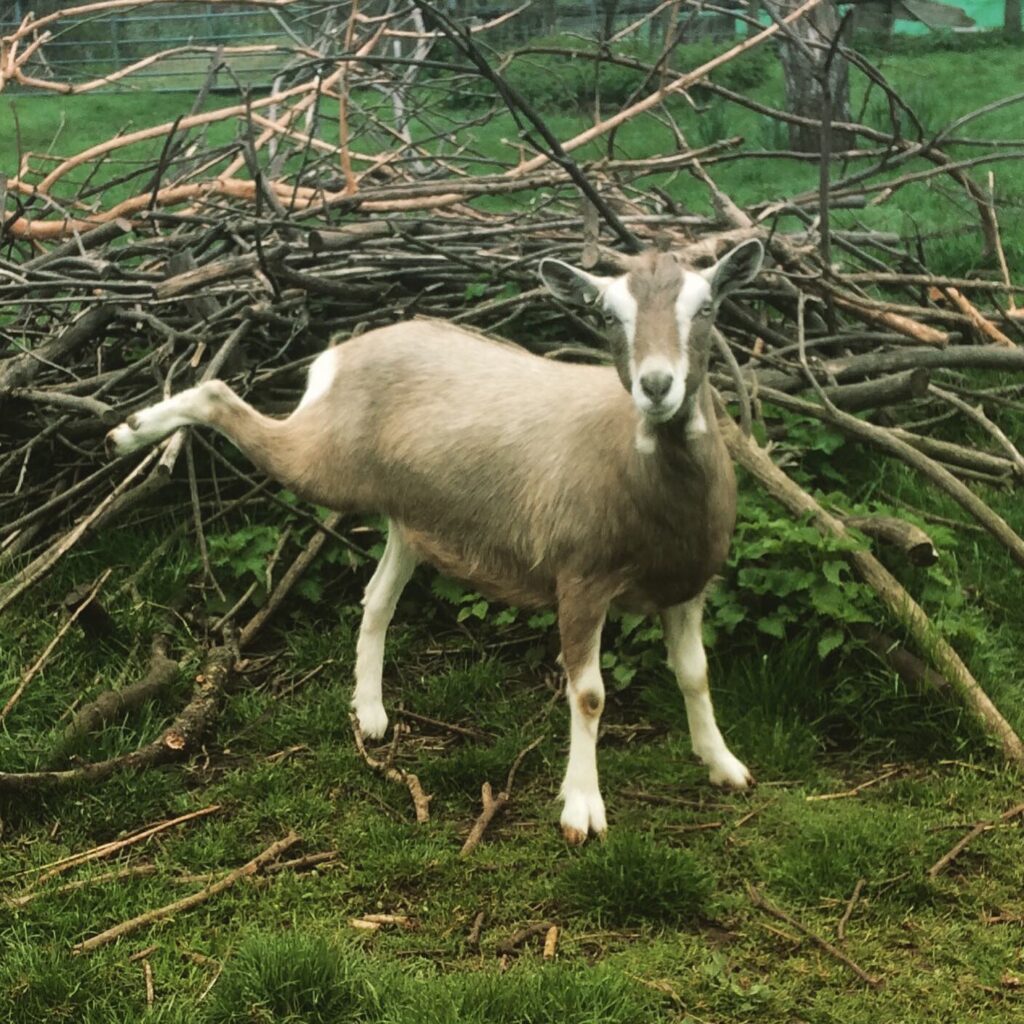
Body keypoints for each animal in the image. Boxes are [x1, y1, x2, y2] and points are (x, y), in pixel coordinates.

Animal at [108, 237, 765, 839]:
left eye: (707, 307)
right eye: (607, 315)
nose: (656, 386)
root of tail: (340, 354)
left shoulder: (689, 584)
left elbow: (695, 672)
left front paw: (725, 765)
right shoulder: (581, 580)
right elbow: (589, 694)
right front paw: (581, 810)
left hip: (412, 520)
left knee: (376, 599)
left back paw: (371, 715)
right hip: (326, 463)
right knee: (221, 397)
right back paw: (132, 431)